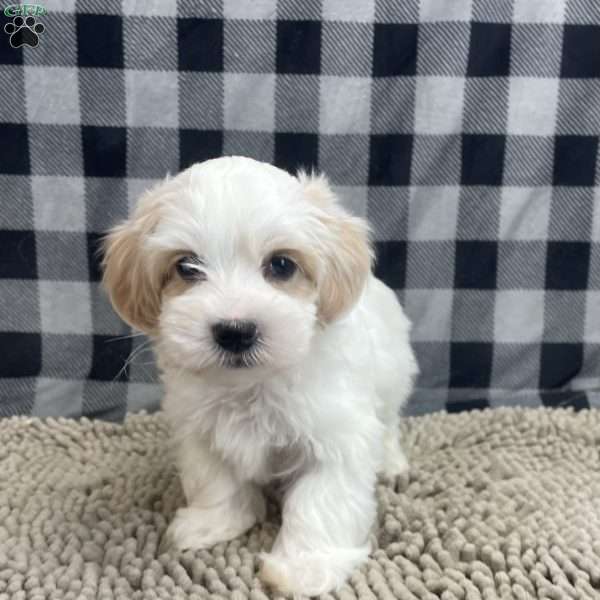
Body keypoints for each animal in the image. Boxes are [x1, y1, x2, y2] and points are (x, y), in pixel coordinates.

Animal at [102, 156, 418, 596]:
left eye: (281, 265)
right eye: (186, 267)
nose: (235, 330)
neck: (252, 387)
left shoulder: (337, 437)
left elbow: (320, 501)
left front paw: (305, 567)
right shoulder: (199, 429)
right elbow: (215, 480)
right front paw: (213, 524)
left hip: (393, 377)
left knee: (387, 424)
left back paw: (390, 462)